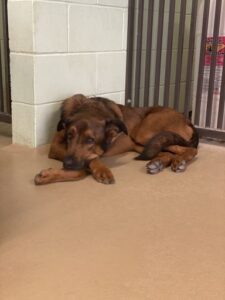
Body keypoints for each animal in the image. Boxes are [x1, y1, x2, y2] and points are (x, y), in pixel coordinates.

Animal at [33, 93, 199, 185]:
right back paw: (158, 163)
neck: (92, 110)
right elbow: (84, 167)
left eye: (90, 140)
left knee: (191, 149)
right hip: (142, 144)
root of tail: (186, 118)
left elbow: (84, 165)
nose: (67, 164)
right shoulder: (56, 147)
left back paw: (179, 161)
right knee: (168, 153)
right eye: (69, 136)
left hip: (145, 133)